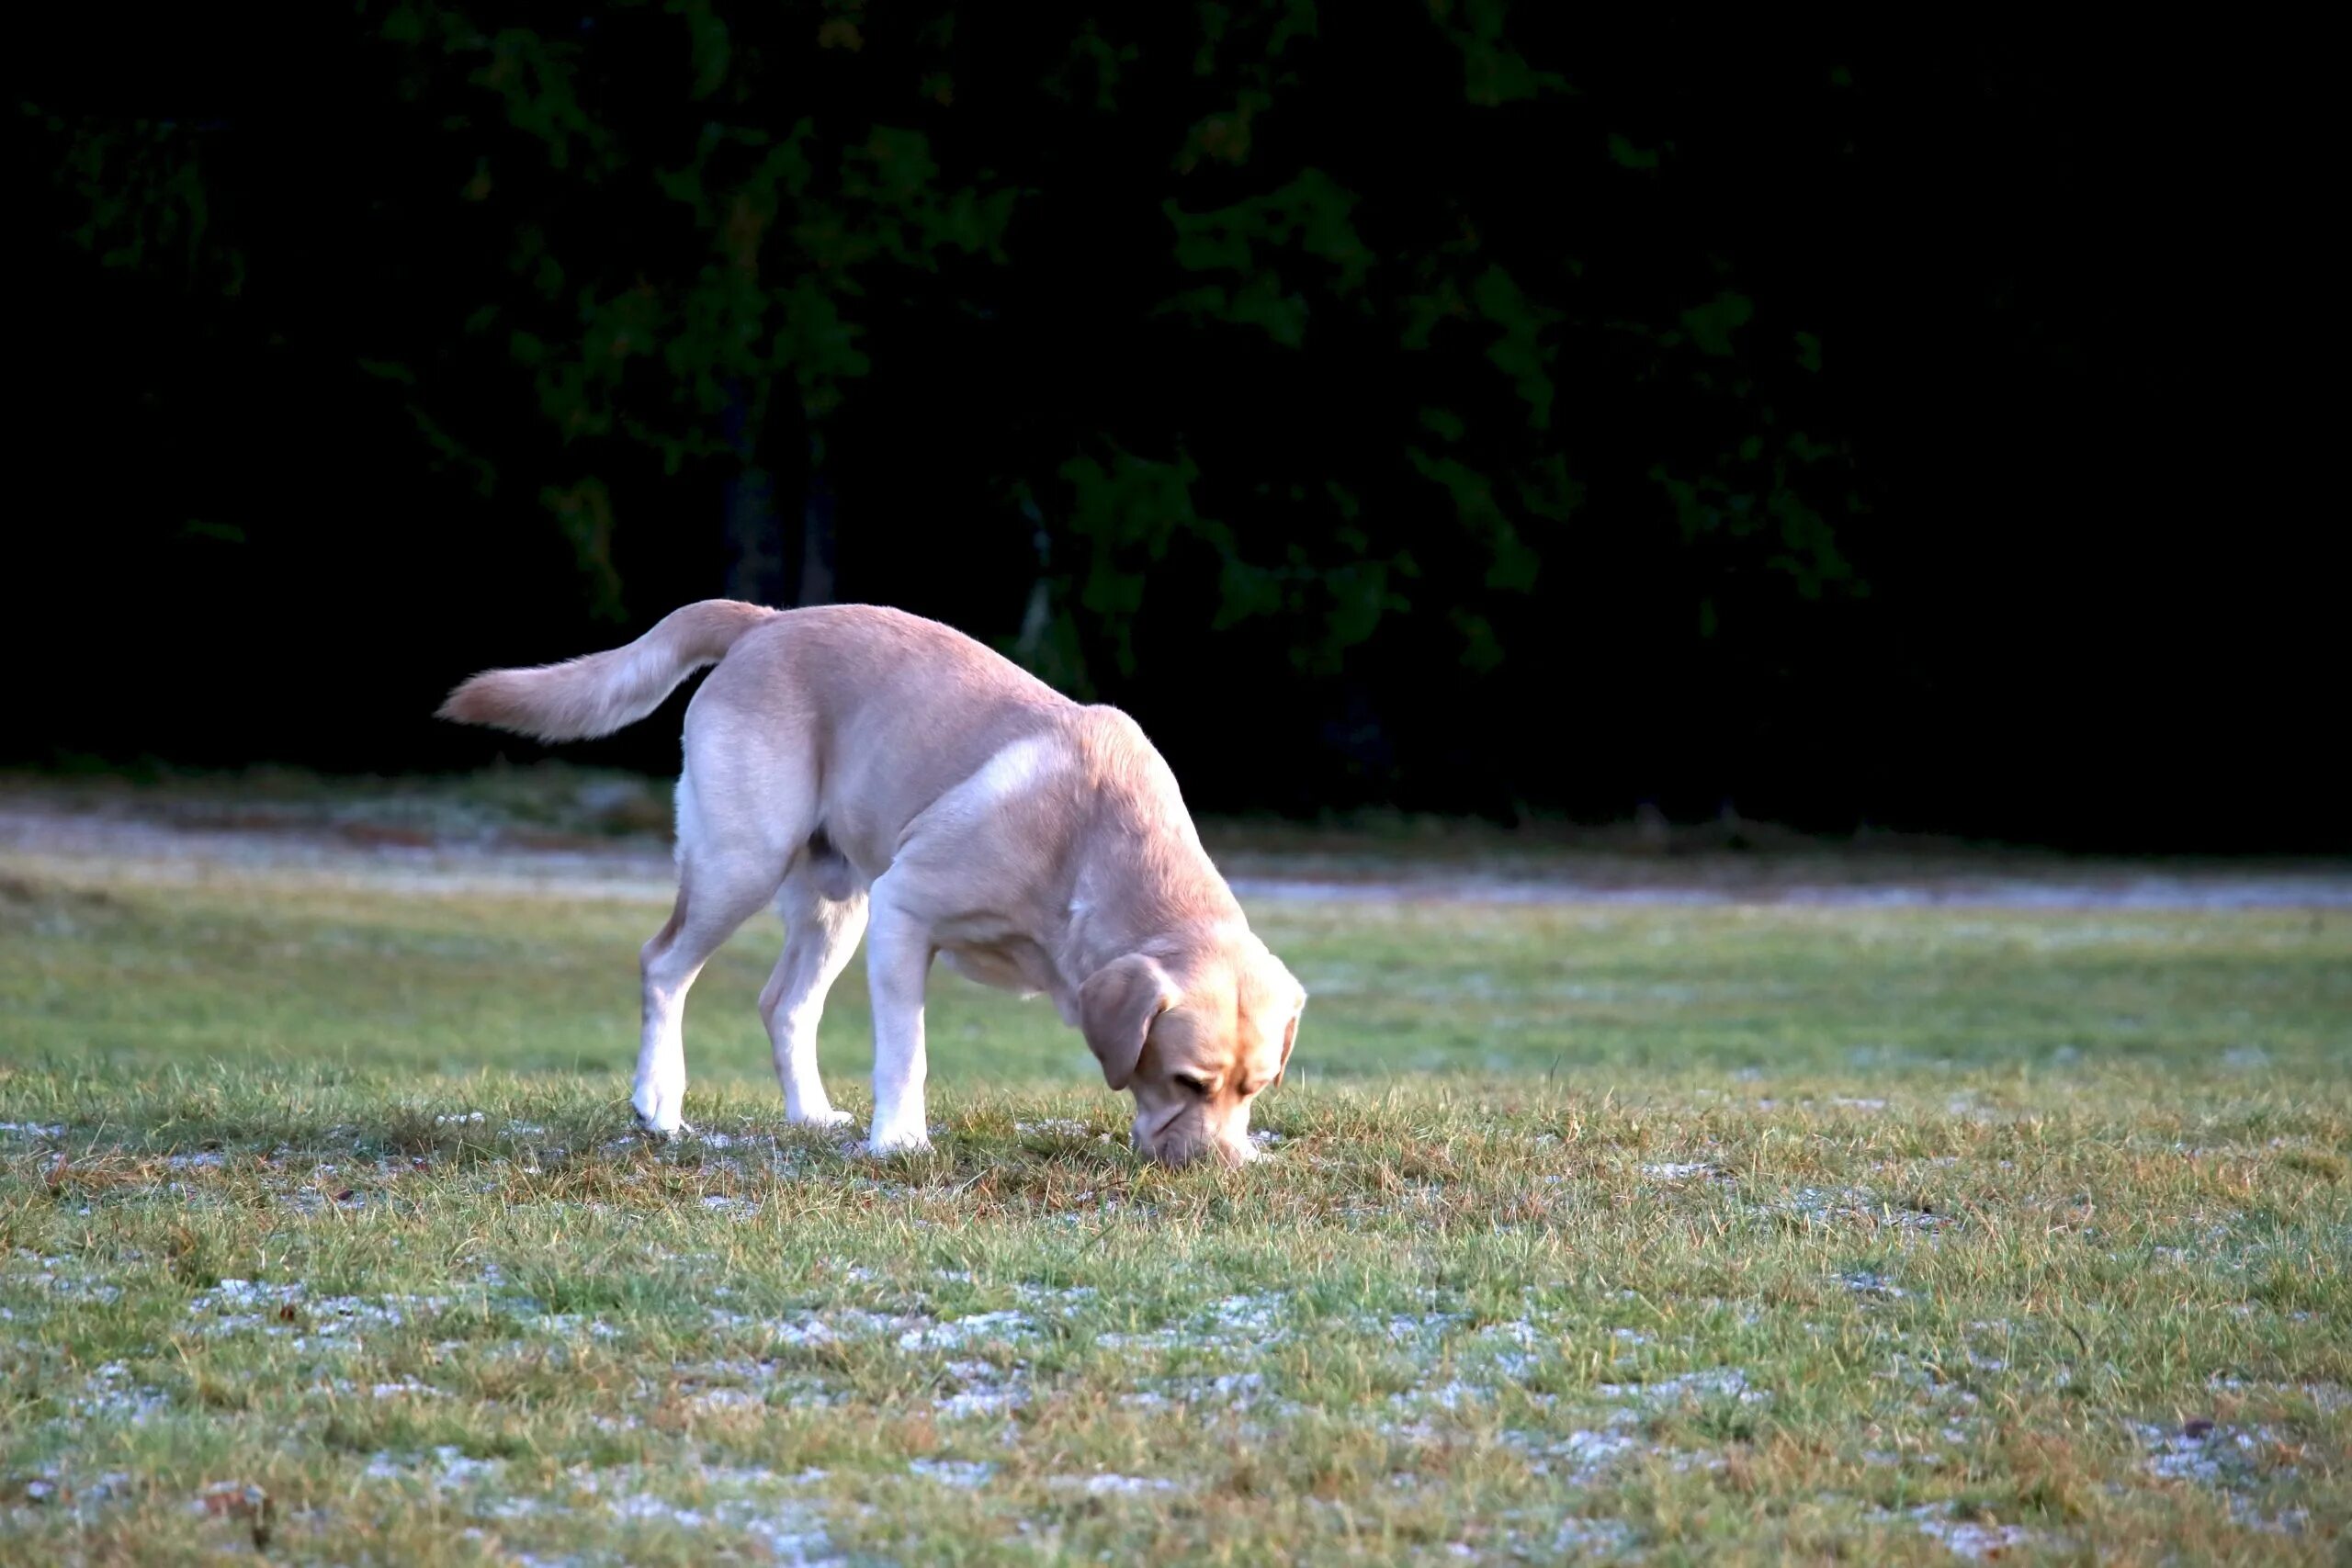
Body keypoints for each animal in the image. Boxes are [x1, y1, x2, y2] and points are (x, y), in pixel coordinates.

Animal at [442, 602, 1307, 1166]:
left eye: (1256, 1087)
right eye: (1186, 1079)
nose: (1219, 1167)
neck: (1092, 847)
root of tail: (766, 619)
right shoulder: (906, 910)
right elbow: (906, 1051)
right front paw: (899, 1141)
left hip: (836, 903)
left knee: (782, 1004)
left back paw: (811, 1114)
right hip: (742, 861)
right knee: (663, 965)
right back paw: (659, 1103)